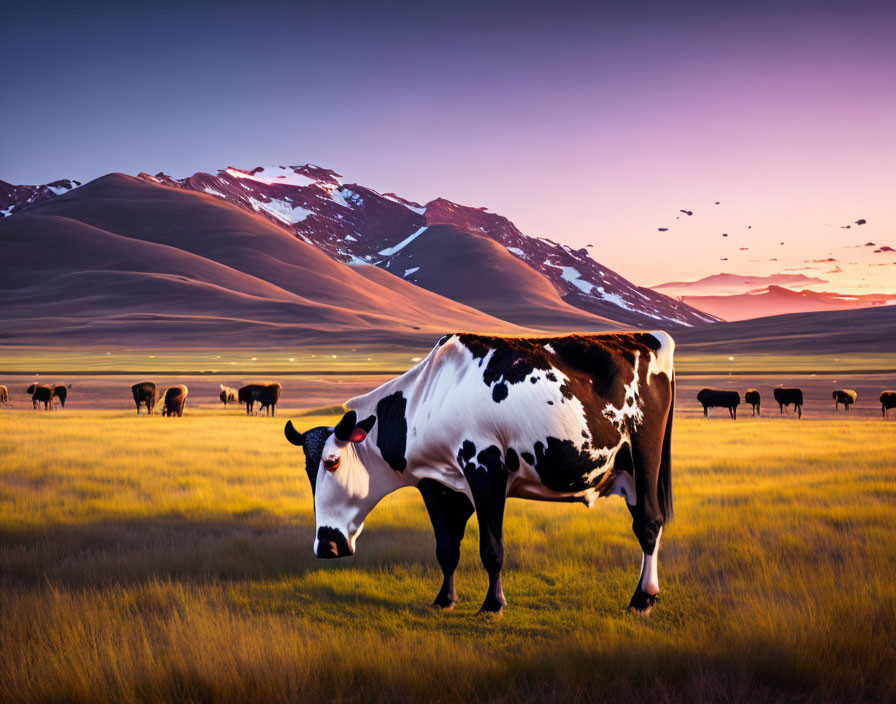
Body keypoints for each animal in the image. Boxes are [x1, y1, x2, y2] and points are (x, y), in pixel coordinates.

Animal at [282, 332, 672, 612]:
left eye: (332, 462)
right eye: (306, 469)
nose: (326, 545)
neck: (431, 398)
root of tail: (646, 338)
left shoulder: (486, 468)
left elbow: (491, 548)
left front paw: (493, 604)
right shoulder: (435, 484)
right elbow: (447, 547)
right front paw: (444, 600)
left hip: (645, 454)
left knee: (649, 523)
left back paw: (643, 598)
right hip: (627, 473)